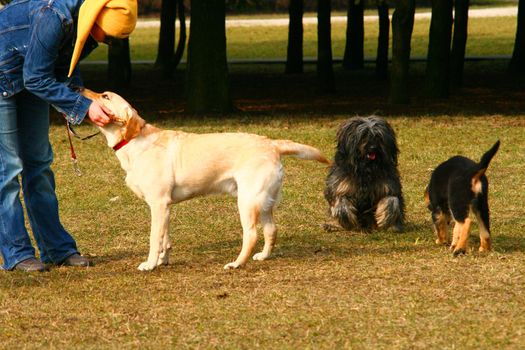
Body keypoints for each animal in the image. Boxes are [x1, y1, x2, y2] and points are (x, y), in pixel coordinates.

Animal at [84, 89, 330, 270]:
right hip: (265, 202)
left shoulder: (158, 203)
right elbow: (165, 238)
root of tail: (272, 143)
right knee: (271, 230)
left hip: (247, 201)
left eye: (105, 96)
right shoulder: (165, 207)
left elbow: (155, 238)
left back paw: (236, 263)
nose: (78, 88)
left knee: (251, 234)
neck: (133, 141)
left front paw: (150, 264)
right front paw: (163, 260)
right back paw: (263, 256)